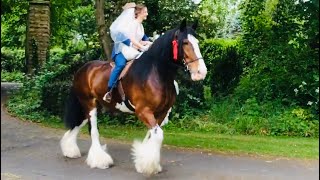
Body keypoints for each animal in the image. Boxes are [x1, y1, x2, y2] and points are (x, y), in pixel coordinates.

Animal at [59, 19, 208, 175]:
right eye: (185, 42)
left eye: (197, 42)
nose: (201, 72)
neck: (155, 73)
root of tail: (82, 69)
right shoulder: (143, 111)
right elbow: (157, 135)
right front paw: (149, 166)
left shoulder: (160, 113)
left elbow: (151, 135)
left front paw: (142, 162)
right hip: (89, 104)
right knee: (93, 131)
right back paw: (100, 160)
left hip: (92, 106)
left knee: (78, 124)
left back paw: (70, 150)